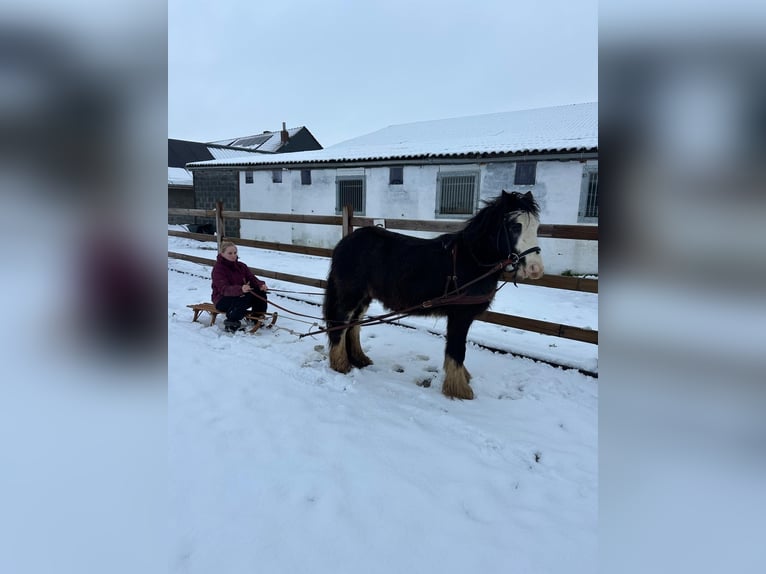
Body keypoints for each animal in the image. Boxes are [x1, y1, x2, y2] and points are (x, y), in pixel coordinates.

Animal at [324, 191, 544, 398]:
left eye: (537, 227)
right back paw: (341, 364)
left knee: (353, 326)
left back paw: (359, 359)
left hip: (364, 297)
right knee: (340, 324)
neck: (472, 260)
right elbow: (457, 350)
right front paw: (460, 390)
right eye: (515, 226)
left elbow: (455, 349)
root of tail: (344, 243)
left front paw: (462, 380)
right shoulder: (460, 316)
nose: (535, 269)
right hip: (350, 295)